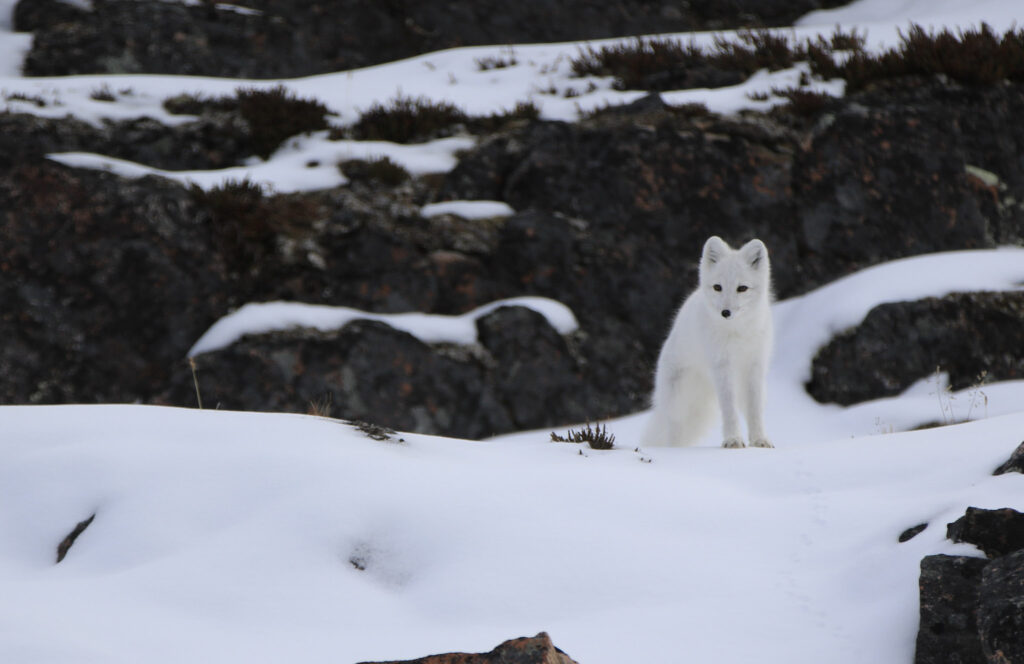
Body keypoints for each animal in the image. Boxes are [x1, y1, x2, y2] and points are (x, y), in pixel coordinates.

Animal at [642, 235, 774, 449]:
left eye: (742, 288)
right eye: (717, 287)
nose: (725, 312)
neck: (737, 333)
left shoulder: (754, 367)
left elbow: (755, 410)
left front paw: (759, 441)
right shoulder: (722, 367)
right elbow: (729, 410)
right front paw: (733, 440)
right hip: (678, 404)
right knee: (672, 431)